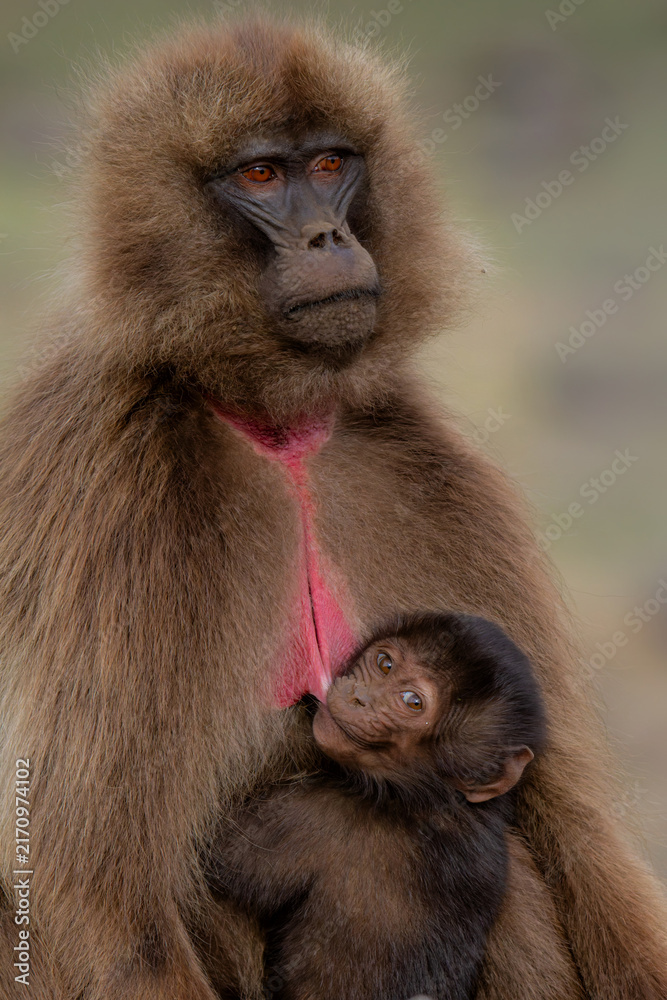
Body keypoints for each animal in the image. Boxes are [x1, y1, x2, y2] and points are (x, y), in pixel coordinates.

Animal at [208, 612, 546, 1000]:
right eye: (384, 664)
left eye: (412, 701)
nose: (360, 697)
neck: (433, 800)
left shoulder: (318, 817)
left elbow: (217, 860)